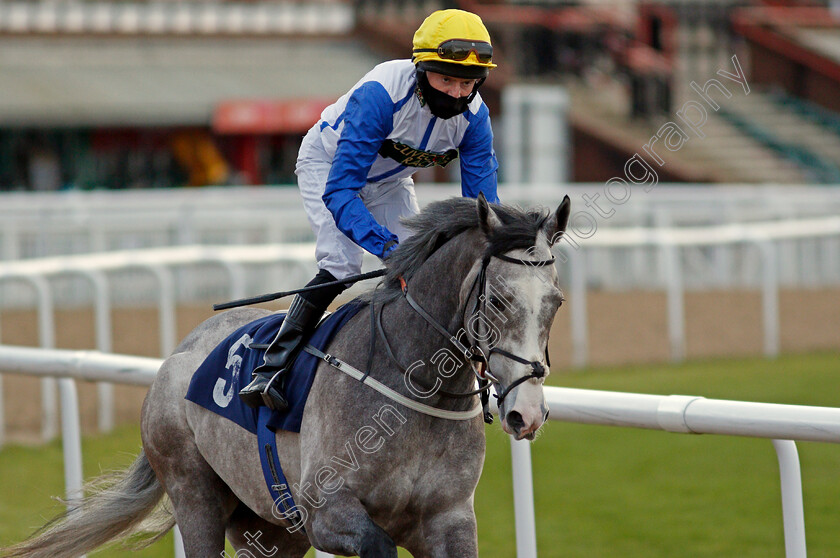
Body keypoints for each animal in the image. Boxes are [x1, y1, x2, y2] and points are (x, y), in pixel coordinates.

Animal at [3, 194, 572, 558]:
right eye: (498, 301)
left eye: (556, 302)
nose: (526, 413)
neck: (412, 389)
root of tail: (174, 358)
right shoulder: (328, 513)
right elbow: (376, 543)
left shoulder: (449, 520)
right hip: (195, 493)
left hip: (270, 528)